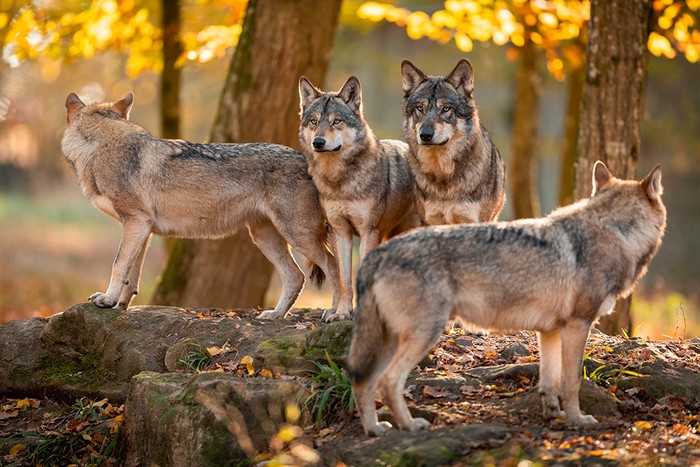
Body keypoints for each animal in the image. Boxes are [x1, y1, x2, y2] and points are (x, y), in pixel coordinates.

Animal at [61, 90, 340, 322]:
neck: (100, 148)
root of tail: (309, 160)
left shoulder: (135, 223)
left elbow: (118, 265)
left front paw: (107, 300)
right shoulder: (143, 229)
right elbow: (132, 274)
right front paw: (120, 305)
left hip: (297, 235)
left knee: (333, 265)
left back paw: (337, 313)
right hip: (265, 237)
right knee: (296, 276)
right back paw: (275, 315)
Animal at [298, 77, 418, 326]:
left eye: (336, 121)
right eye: (314, 121)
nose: (318, 142)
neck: (341, 182)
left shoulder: (367, 231)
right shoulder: (340, 232)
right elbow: (344, 279)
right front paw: (342, 312)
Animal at [350, 163, 668, 436]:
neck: (615, 232)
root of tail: (378, 254)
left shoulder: (550, 331)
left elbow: (550, 382)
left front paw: (554, 415)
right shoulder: (577, 326)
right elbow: (572, 382)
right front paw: (578, 420)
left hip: (389, 341)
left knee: (364, 382)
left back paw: (375, 429)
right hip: (423, 335)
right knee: (389, 382)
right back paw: (410, 426)